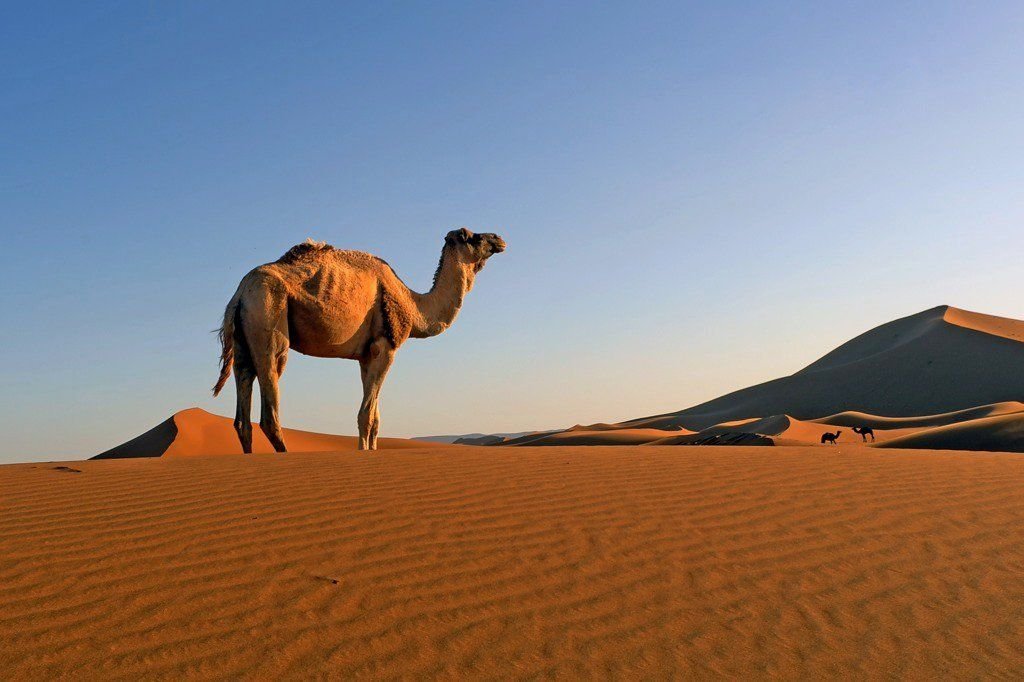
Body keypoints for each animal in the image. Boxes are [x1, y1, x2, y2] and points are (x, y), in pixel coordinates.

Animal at [212, 227, 507, 450]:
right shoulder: (385, 347)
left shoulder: (365, 356)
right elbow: (365, 415)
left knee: (243, 408)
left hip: (243, 339)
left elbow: (376, 418)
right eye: (471, 236)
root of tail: (238, 295)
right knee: (270, 408)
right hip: (269, 316)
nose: (499, 238)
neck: (413, 306)